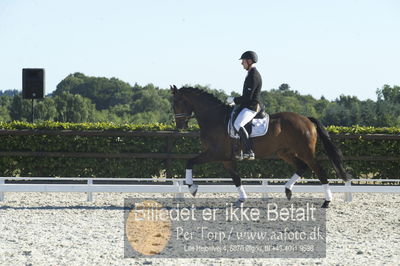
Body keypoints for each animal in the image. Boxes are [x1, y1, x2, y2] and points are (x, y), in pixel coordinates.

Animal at [170, 85, 352, 208]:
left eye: (177, 102)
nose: (180, 127)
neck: (215, 118)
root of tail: (306, 119)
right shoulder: (226, 159)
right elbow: (236, 178)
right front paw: (241, 199)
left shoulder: (215, 153)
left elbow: (190, 162)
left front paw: (192, 187)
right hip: (285, 153)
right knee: (301, 167)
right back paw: (287, 190)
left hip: (304, 152)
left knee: (319, 170)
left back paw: (326, 201)